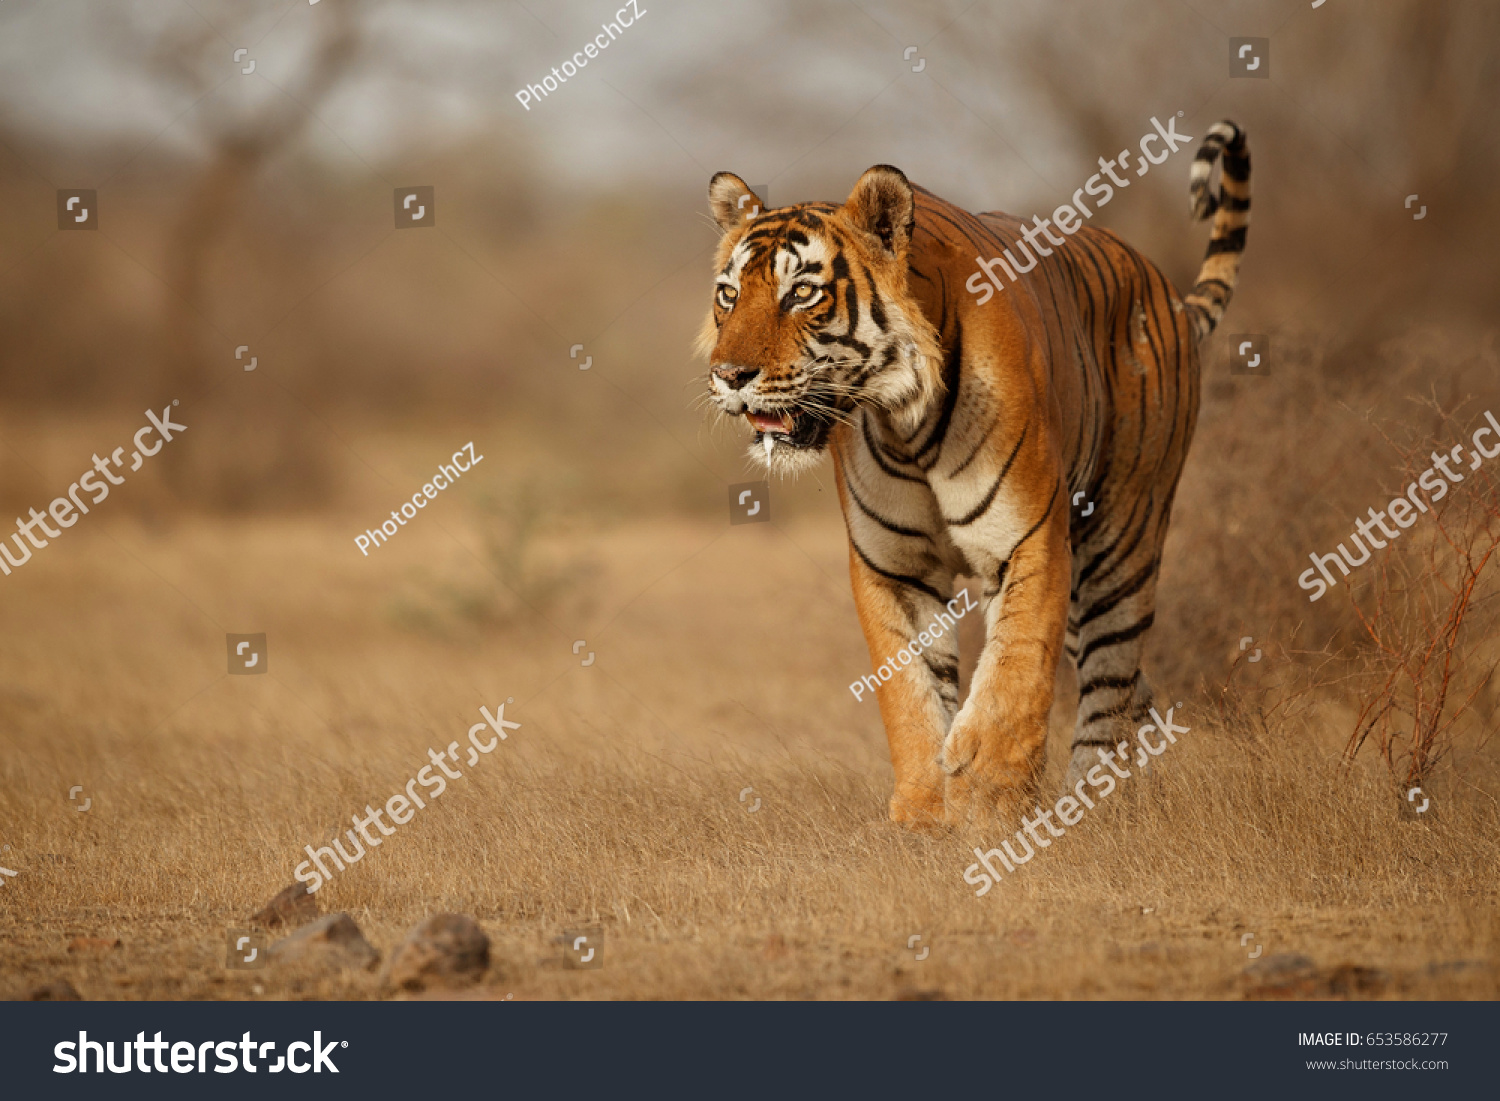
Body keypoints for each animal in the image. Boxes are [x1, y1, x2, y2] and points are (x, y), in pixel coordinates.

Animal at [698, 121, 1250, 830]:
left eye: (802, 293)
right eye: (729, 295)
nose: (728, 375)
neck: (904, 422)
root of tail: (1167, 290)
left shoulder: (1029, 541)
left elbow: (1013, 678)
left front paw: (989, 807)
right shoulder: (894, 567)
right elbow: (909, 695)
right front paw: (924, 813)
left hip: (1121, 539)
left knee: (1110, 679)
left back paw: (1093, 803)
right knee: (1134, 686)